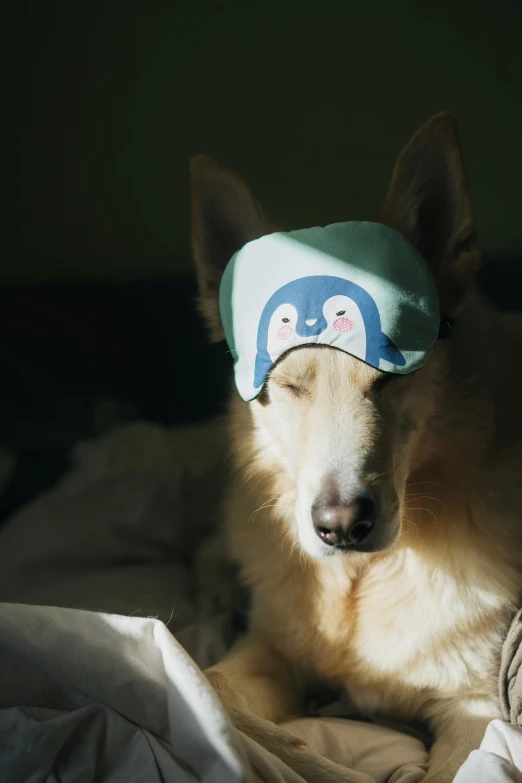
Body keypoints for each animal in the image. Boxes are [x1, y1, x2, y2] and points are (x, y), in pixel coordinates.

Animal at [189, 112, 520, 783]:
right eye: (287, 387)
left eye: (392, 377)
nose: (341, 526)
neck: (362, 581)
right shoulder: (266, 653)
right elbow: (211, 689)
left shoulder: (477, 712)